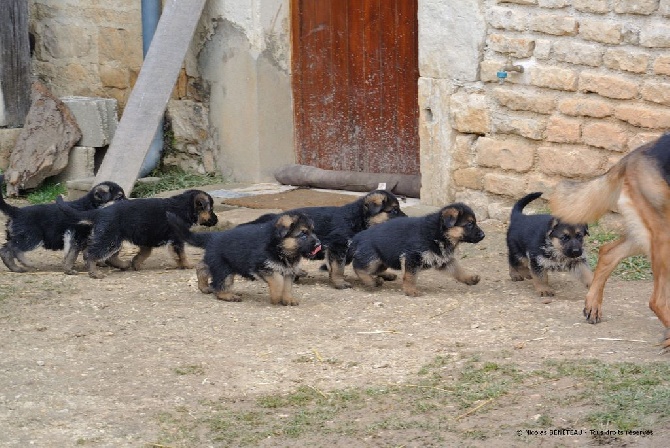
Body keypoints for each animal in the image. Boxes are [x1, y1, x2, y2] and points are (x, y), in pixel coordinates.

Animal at [56, 188, 218, 276]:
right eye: (211, 209)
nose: (216, 220)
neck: (184, 206)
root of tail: (99, 212)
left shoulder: (147, 240)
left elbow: (144, 253)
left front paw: (136, 264)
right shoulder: (176, 239)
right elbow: (181, 254)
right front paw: (187, 265)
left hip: (112, 238)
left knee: (87, 252)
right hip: (110, 238)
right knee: (91, 254)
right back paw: (94, 273)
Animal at [167, 212, 322, 306]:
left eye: (313, 232)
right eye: (303, 234)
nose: (319, 244)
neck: (279, 246)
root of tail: (213, 236)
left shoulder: (288, 272)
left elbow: (287, 286)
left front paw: (288, 299)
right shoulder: (263, 267)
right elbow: (278, 283)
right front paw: (276, 297)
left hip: (220, 263)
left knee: (202, 267)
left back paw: (204, 287)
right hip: (223, 269)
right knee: (219, 285)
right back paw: (228, 295)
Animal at [245, 188, 404, 288]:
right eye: (393, 210)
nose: (406, 219)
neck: (359, 219)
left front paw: (383, 274)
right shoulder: (338, 246)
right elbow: (339, 267)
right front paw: (340, 283)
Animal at [350, 204, 486, 296]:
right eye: (469, 224)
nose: (483, 235)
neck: (439, 232)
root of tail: (357, 237)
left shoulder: (444, 260)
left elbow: (458, 270)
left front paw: (470, 278)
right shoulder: (412, 257)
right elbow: (410, 276)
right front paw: (411, 291)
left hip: (383, 260)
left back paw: (383, 277)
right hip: (373, 259)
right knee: (358, 267)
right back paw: (371, 282)